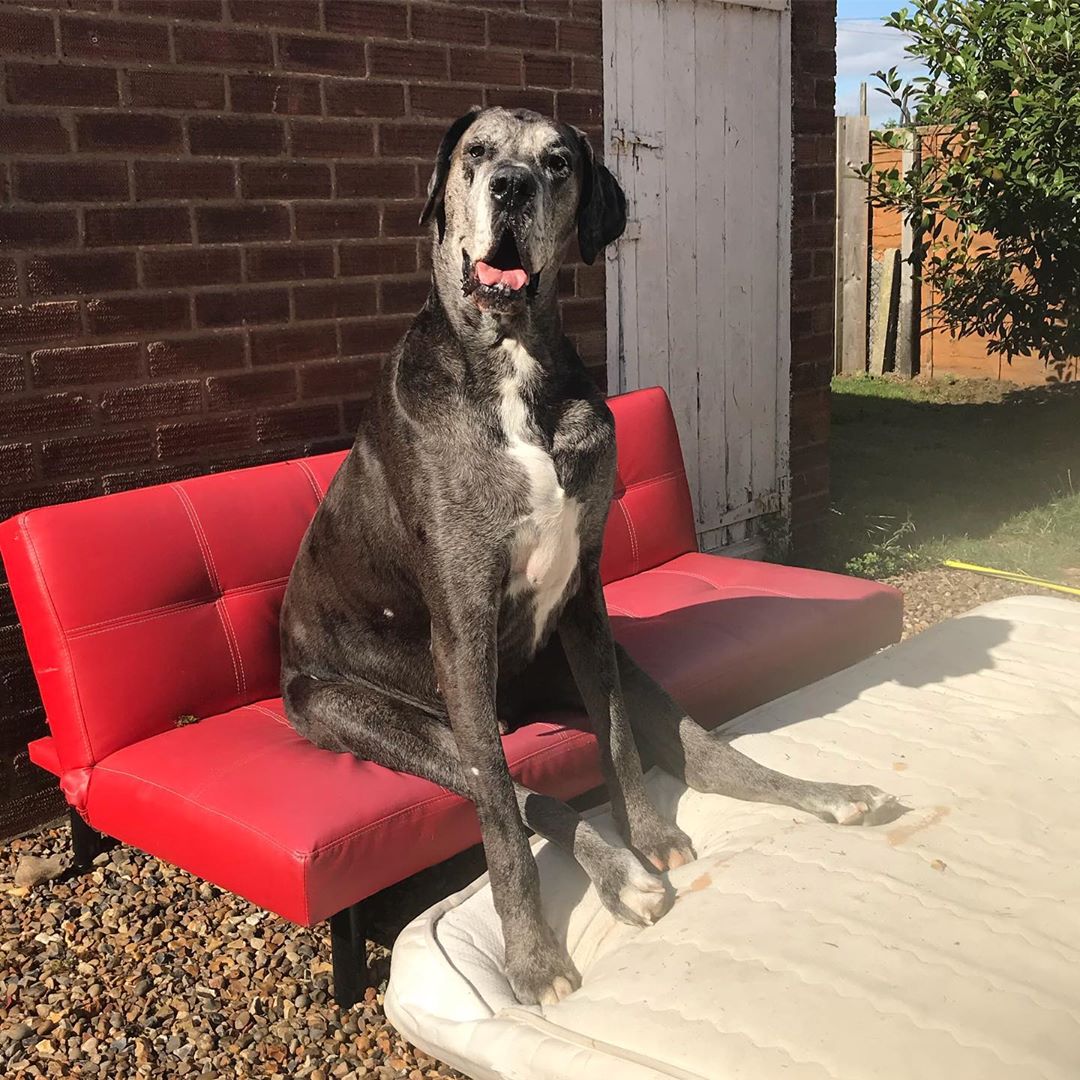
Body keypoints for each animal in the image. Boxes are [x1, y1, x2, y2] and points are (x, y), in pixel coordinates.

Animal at [280, 109, 902, 1002]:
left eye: (558, 163)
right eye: (476, 154)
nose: (510, 188)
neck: (510, 369)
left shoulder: (586, 601)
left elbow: (617, 740)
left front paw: (646, 834)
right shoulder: (462, 623)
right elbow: (502, 820)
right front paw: (533, 956)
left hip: (595, 673)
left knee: (705, 756)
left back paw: (825, 798)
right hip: (378, 717)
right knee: (508, 786)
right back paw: (616, 875)